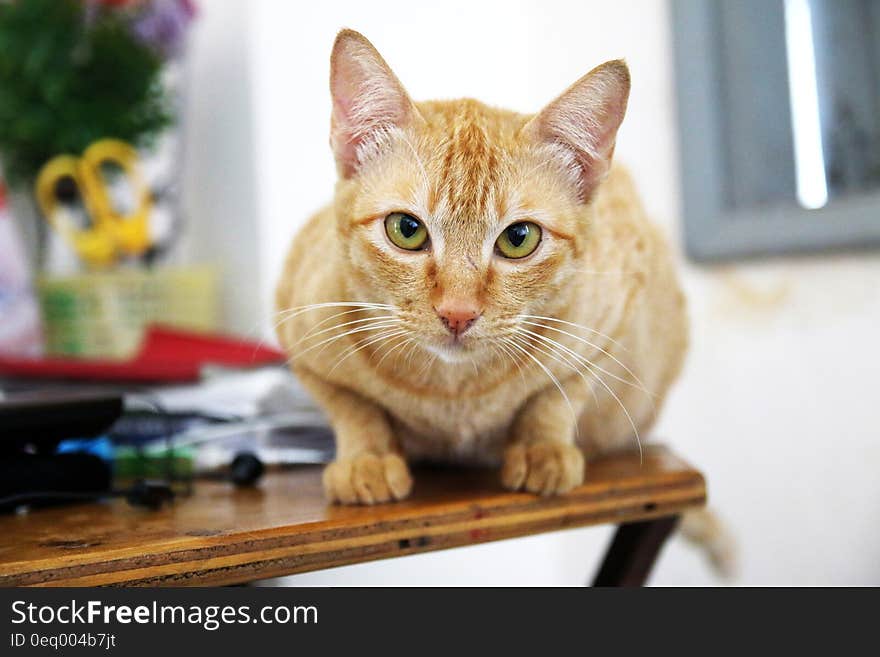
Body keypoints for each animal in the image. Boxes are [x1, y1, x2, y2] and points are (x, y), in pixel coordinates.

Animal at [276, 29, 688, 502]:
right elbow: (353, 406)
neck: (454, 395)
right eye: (406, 229)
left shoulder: (610, 323)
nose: (458, 314)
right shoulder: (297, 330)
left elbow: (557, 395)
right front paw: (369, 457)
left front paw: (541, 449)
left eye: (518, 238)